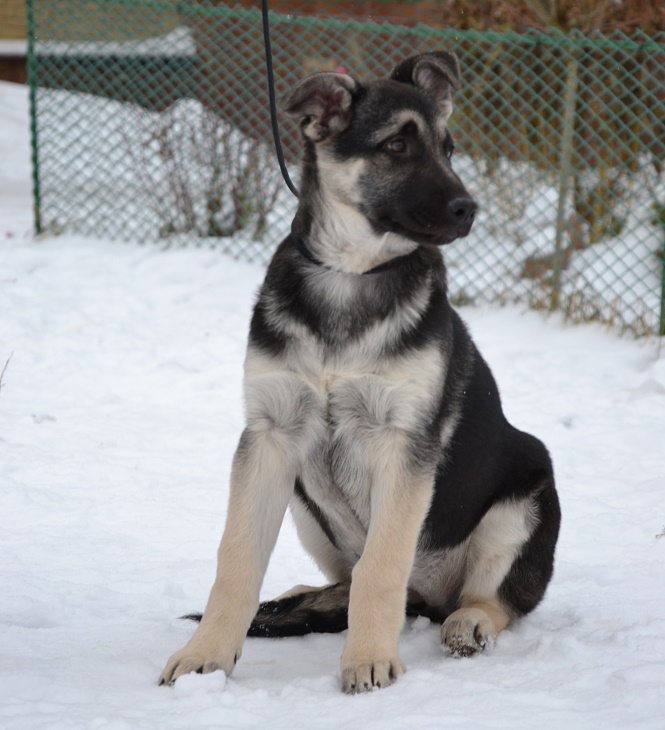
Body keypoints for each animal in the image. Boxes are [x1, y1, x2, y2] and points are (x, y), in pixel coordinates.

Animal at [158, 52, 556, 692]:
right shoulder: (269, 437)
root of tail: (430, 601)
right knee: (343, 579)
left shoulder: (402, 444)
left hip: (528, 496)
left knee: (496, 599)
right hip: (303, 500)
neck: (350, 273)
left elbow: (381, 565)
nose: (469, 210)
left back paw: (468, 622)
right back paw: (306, 595)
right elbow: (237, 560)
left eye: (449, 148)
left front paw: (368, 658)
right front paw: (206, 656)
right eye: (396, 145)